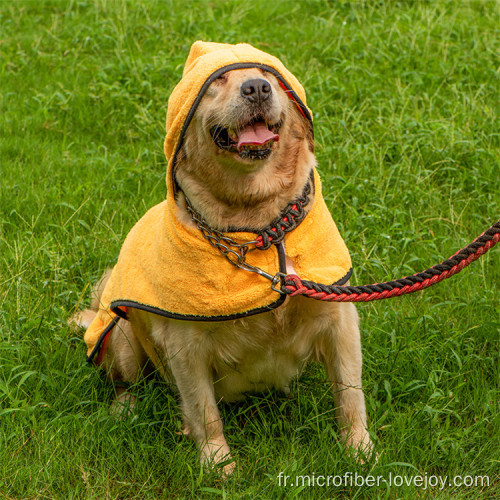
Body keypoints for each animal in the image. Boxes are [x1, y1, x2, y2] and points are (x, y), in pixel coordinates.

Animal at [72, 42, 374, 472]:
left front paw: (359, 450)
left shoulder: (339, 318)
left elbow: (350, 394)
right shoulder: (185, 345)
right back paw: (126, 409)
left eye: (268, 77)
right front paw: (217, 464)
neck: (257, 227)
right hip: (123, 337)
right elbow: (204, 410)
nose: (257, 88)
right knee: (125, 382)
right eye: (219, 81)